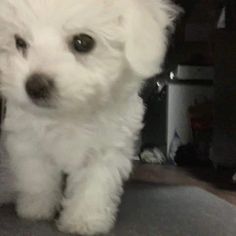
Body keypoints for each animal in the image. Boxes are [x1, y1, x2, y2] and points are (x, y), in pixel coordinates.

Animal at [0, 0, 178, 235]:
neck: (70, 114)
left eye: (83, 42)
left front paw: (84, 221)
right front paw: (35, 208)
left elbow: (93, 187)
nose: (35, 86)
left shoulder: (107, 149)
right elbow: (37, 176)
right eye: (19, 42)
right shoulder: (28, 140)